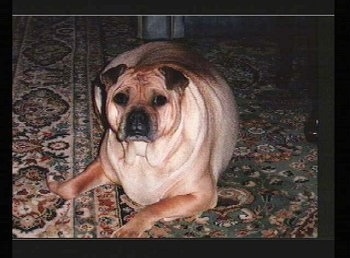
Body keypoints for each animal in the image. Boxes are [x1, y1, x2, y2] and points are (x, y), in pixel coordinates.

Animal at [46, 40, 239, 238]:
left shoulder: (202, 195)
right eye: (120, 98)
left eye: (160, 100)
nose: (137, 117)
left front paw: (129, 230)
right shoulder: (104, 166)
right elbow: (70, 188)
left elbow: (155, 207)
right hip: (99, 93)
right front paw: (54, 183)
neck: (142, 153)